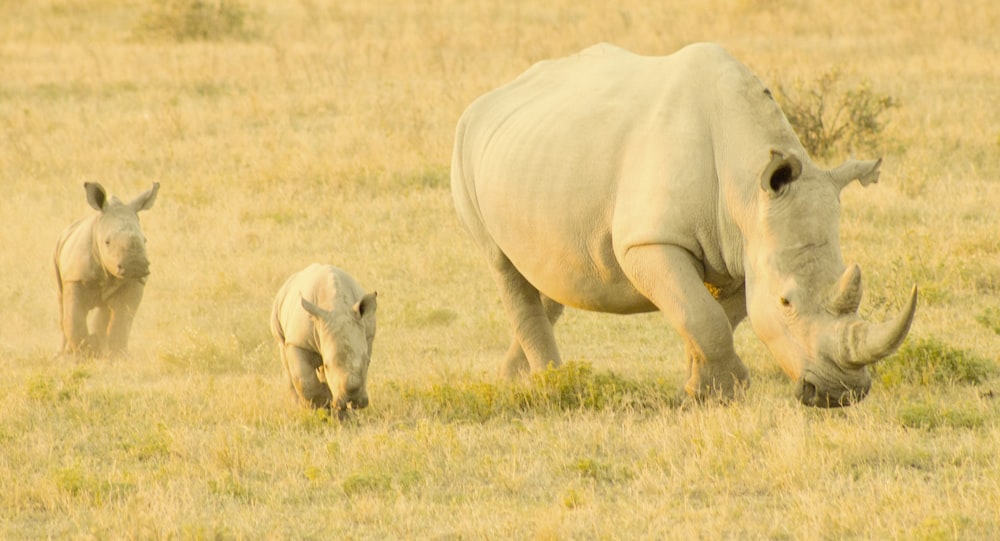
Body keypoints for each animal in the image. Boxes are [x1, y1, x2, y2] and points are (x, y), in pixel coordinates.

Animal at [54, 182, 159, 354]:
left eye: (145, 240)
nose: (135, 265)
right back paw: (64, 354)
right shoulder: (75, 277)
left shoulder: (134, 283)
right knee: (61, 303)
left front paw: (116, 355)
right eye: (107, 242)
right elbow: (74, 319)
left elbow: (121, 320)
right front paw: (85, 354)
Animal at [270, 264, 378, 416]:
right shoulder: (297, 342)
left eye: (367, 363)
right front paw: (322, 403)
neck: (336, 305)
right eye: (327, 365)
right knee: (285, 358)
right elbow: (304, 380)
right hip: (279, 317)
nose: (352, 400)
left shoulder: (367, 336)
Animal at [450, 42, 916, 404]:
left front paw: (700, 391)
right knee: (503, 266)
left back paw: (513, 380)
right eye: (787, 302)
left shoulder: (747, 248)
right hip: (463, 144)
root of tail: (488, 98)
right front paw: (726, 392)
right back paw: (554, 386)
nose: (841, 394)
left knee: (547, 274)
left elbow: (713, 316)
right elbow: (703, 316)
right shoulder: (650, 241)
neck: (748, 187)